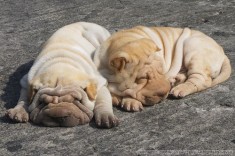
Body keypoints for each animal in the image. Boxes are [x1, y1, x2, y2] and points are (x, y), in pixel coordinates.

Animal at [94, 25, 231, 111]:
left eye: (162, 70)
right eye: (142, 78)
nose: (164, 92)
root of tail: (222, 52)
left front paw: (129, 101)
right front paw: (115, 97)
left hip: (193, 48)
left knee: (201, 80)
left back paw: (180, 88)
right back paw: (176, 80)